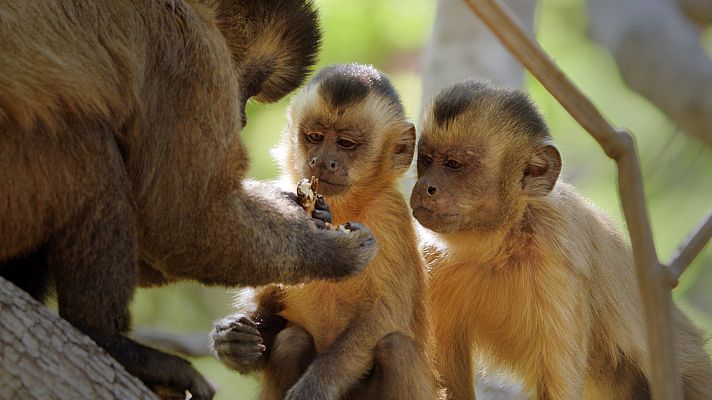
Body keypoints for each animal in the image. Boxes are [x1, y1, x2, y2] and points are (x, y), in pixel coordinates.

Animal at [210, 64, 440, 400]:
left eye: (345, 144)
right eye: (315, 137)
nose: (323, 162)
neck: (343, 208)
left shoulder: (390, 216)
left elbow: (383, 317)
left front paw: (312, 389)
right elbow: (271, 304)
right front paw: (234, 344)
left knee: (396, 349)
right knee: (291, 341)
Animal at [408, 79, 712, 400]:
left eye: (453, 164)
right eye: (426, 160)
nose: (425, 186)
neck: (501, 245)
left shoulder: (557, 259)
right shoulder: (431, 259)